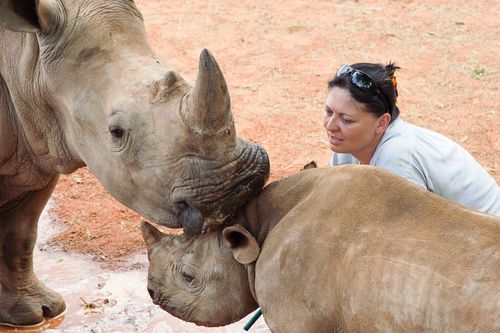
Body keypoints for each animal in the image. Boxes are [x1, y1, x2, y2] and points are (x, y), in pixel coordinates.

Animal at [0, 0, 270, 326]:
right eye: (116, 132)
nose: (239, 187)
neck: (28, 60)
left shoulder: (40, 147)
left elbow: (21, 233)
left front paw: (38, 313)